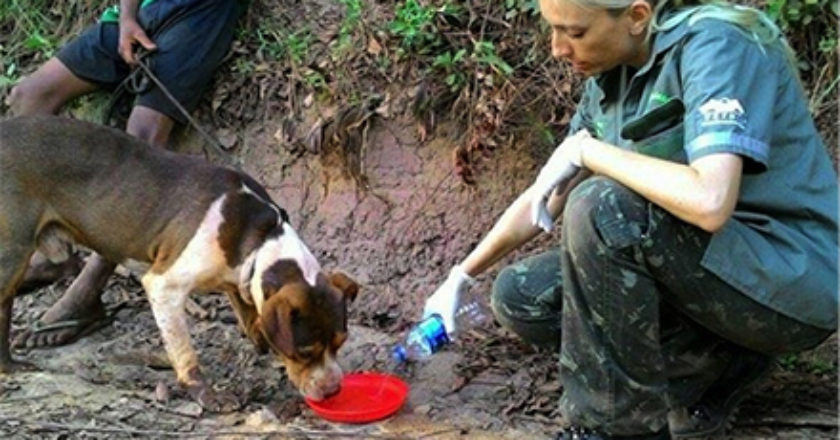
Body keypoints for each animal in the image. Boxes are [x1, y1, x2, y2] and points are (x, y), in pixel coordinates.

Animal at [0, 115, 358, 410]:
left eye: (340, 344)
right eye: (305, 352)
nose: (334, 390)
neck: (258, 237)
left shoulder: (238, 277)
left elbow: (249, 312)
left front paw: (258, 335)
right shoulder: (164, 285)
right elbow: (185, 350)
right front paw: (205, 394)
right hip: (12, 254)